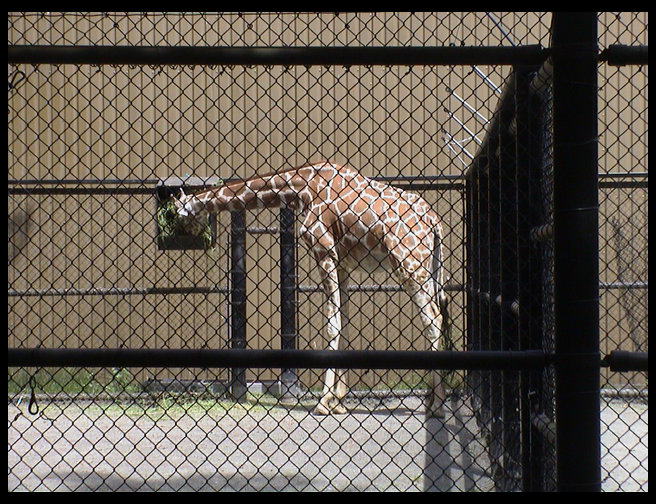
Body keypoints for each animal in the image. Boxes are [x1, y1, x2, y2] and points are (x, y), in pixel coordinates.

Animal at [173, 161, 449, 417]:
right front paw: (338, 401)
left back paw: (437, 405)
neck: (302, 189)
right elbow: (344, 323)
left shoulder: (323, 251)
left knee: (433, 319)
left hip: (408, 264)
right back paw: (433, 400)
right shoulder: (343, 264)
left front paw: (324, 402)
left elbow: (332, 325)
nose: (191, 236)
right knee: (439, 314)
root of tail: (434, 221)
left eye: (178, 216)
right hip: (428, 268)